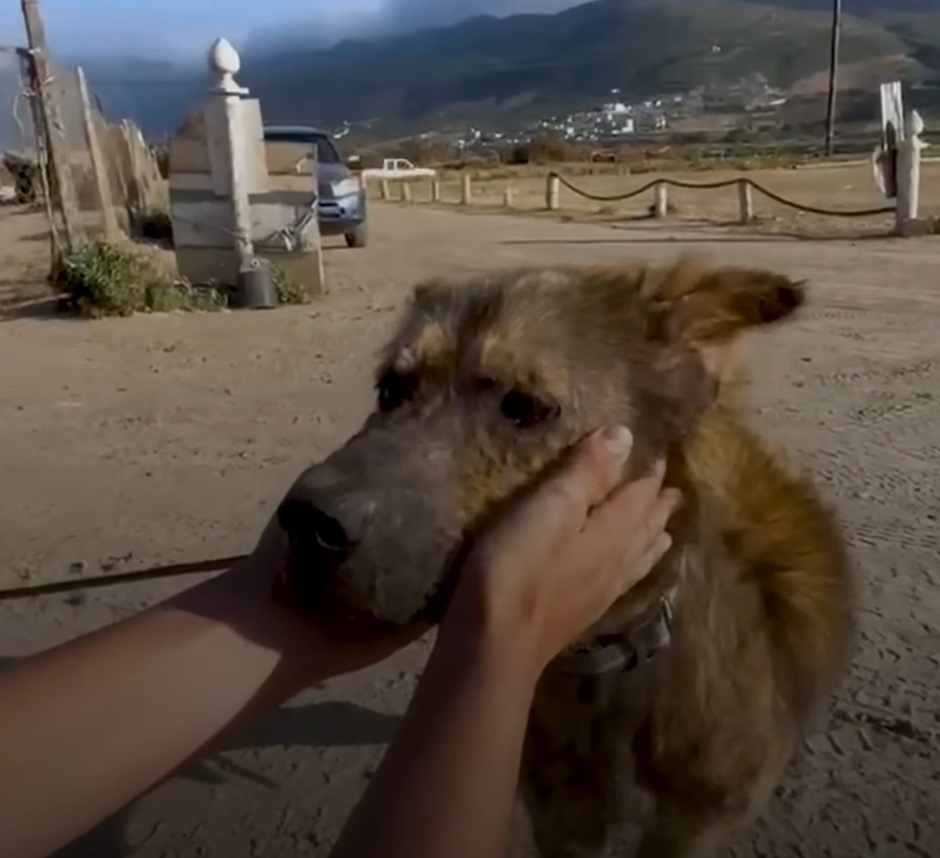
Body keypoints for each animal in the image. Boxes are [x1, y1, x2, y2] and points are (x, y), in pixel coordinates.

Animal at [276, 260, 856, 856]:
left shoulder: (695, 822)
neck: (608, 663)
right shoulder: (561, 816)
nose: (305, 524)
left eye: (525, 407)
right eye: (391, 388)